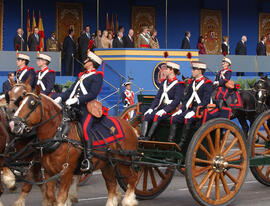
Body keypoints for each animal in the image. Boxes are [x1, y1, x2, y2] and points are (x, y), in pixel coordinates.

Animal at [8, 86, 139, 205]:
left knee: (133, 178)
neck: (60, 134)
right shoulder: (49, 173)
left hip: (124, 162)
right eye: (20, 102)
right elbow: (50, 195)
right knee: (111, 185)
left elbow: (61, 198)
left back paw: (129, 200)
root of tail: (128, 125)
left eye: (32, 103)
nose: (13, 124)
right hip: (107, 164)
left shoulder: (66, 173)